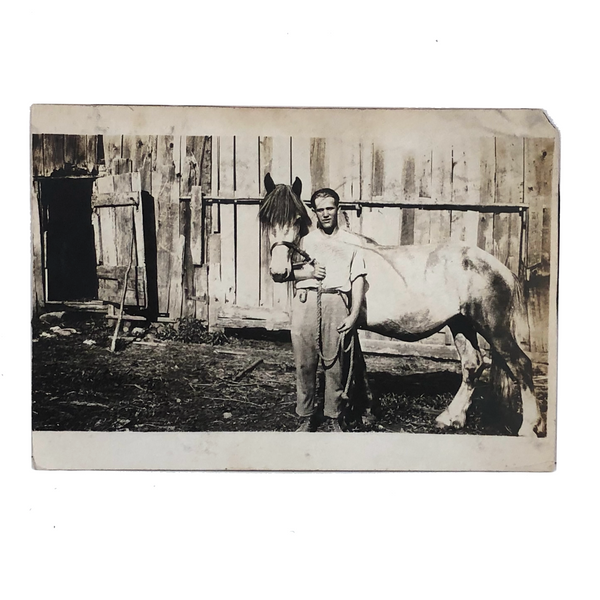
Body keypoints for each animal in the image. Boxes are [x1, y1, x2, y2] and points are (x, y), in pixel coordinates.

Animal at [258, 173, 544, 436]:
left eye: (297, 218)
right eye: (265, 218)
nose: (280, 271)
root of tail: (498, 266)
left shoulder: (349, 325)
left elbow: (357, 366)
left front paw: (363, 412)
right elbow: (358, 364)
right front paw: (364, 411)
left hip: (493, 328)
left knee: (520, 364)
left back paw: (529, 427)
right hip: (461, 323)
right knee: (472, 365)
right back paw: (451, 418)